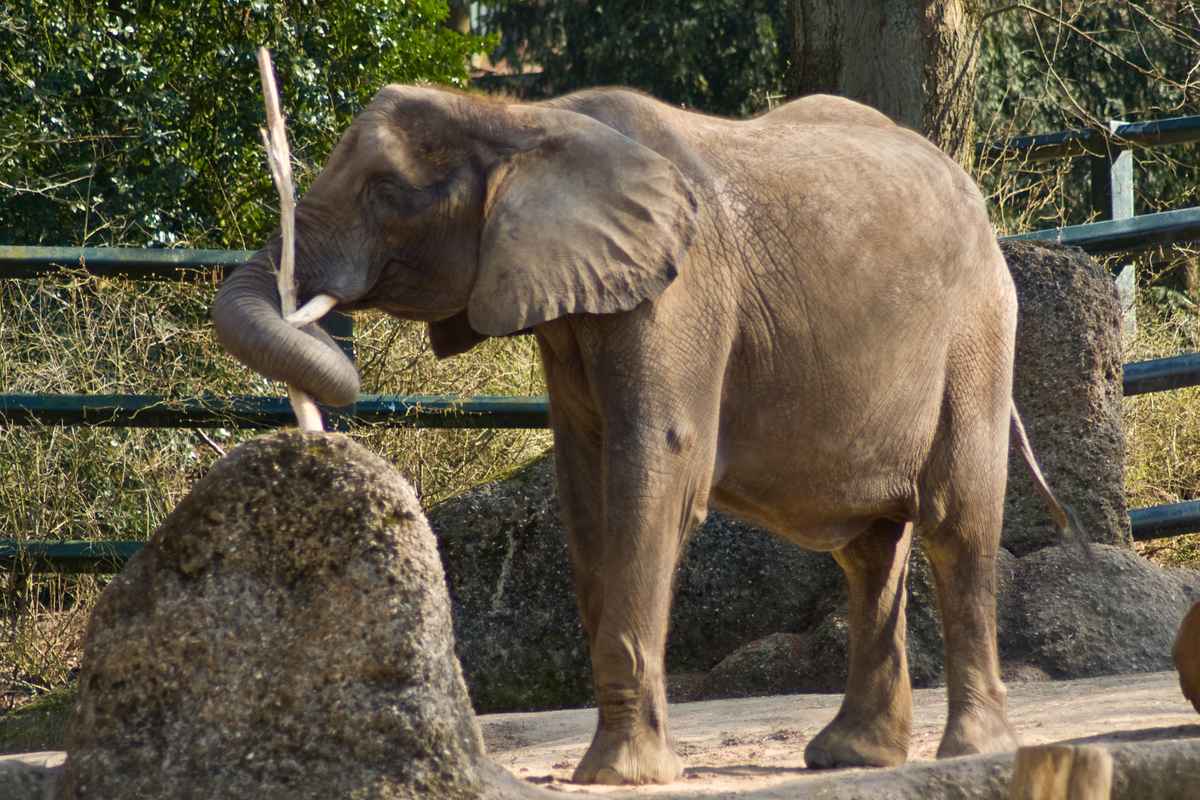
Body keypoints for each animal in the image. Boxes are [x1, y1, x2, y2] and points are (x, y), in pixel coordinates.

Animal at [211, 85, 1075, 785]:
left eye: (388, 190)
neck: (522, 120)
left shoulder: (682, 289)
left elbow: (654, 465)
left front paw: (620, 775)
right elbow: (586, 485)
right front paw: (615, 766)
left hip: (977, 325)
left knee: (955, 519)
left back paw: (972, 751)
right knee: (869, 551)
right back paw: (851, 757)